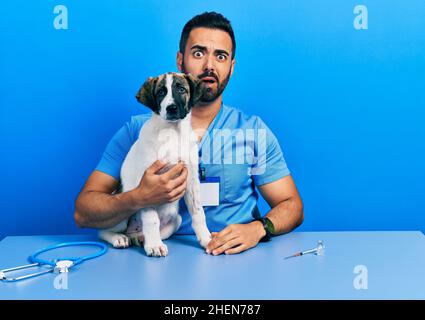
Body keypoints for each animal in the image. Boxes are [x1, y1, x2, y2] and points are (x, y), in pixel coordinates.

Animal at [99, 71, 212, 256]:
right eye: (161, 92)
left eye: (181, 89)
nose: (171, 108)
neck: (172, 132)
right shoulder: (147, 185)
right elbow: (151, 219)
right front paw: (154, 245)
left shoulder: (191, 179)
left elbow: (198, 212)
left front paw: (206, 238)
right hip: (122, 208)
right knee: (102, 230)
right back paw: (119, 238)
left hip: (176, 220)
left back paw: (139, 238)